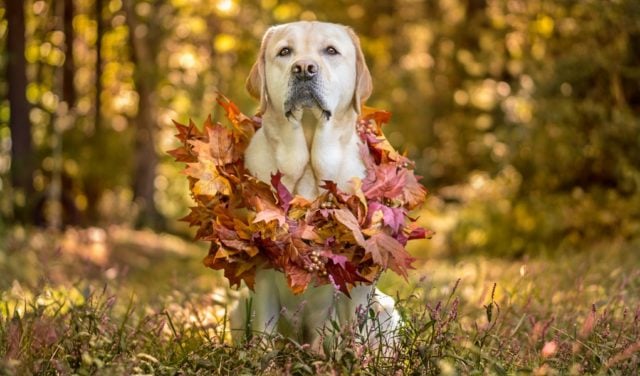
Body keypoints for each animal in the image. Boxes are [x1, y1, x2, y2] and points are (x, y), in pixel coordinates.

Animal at [230, 19, 400, 350]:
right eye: (285, 52)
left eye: (331, 51)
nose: (304, 68)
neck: (308, 169)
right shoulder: (262, 266)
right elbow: (265, 326)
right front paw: (262, 357)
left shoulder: (357, 274)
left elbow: (354, 328)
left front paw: (355, 358)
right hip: (237, 308)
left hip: (386, 309)